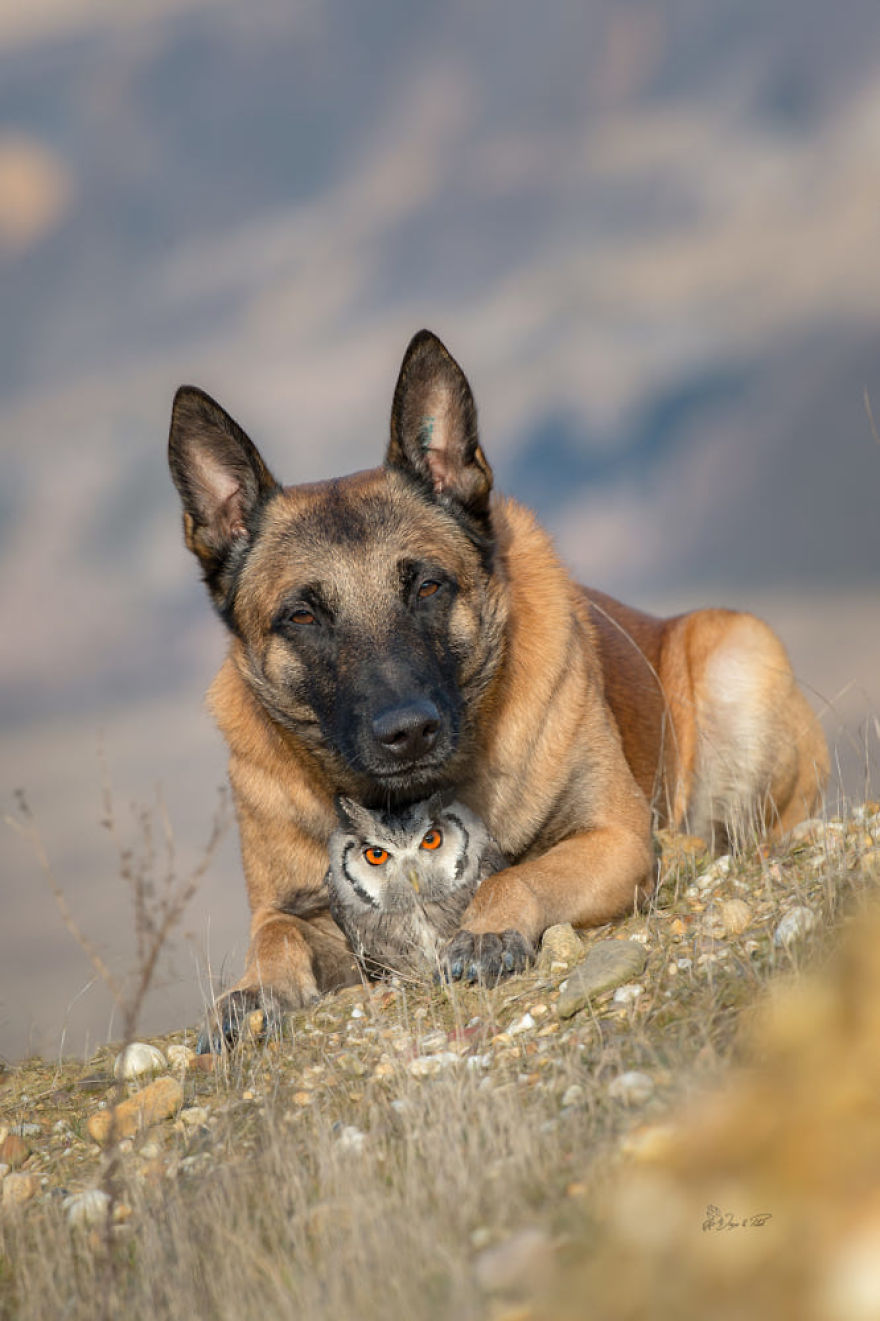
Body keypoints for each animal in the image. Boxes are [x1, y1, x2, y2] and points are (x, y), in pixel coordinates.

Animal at [167, 324, 824, 1025]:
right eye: (302, 615)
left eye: (428, 586)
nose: (408, 732)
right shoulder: (294, 905)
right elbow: (276, 933)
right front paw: (252, 991)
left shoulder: (615, 840)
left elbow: (517, 873)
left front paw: (485, 932)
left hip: (740, 651)